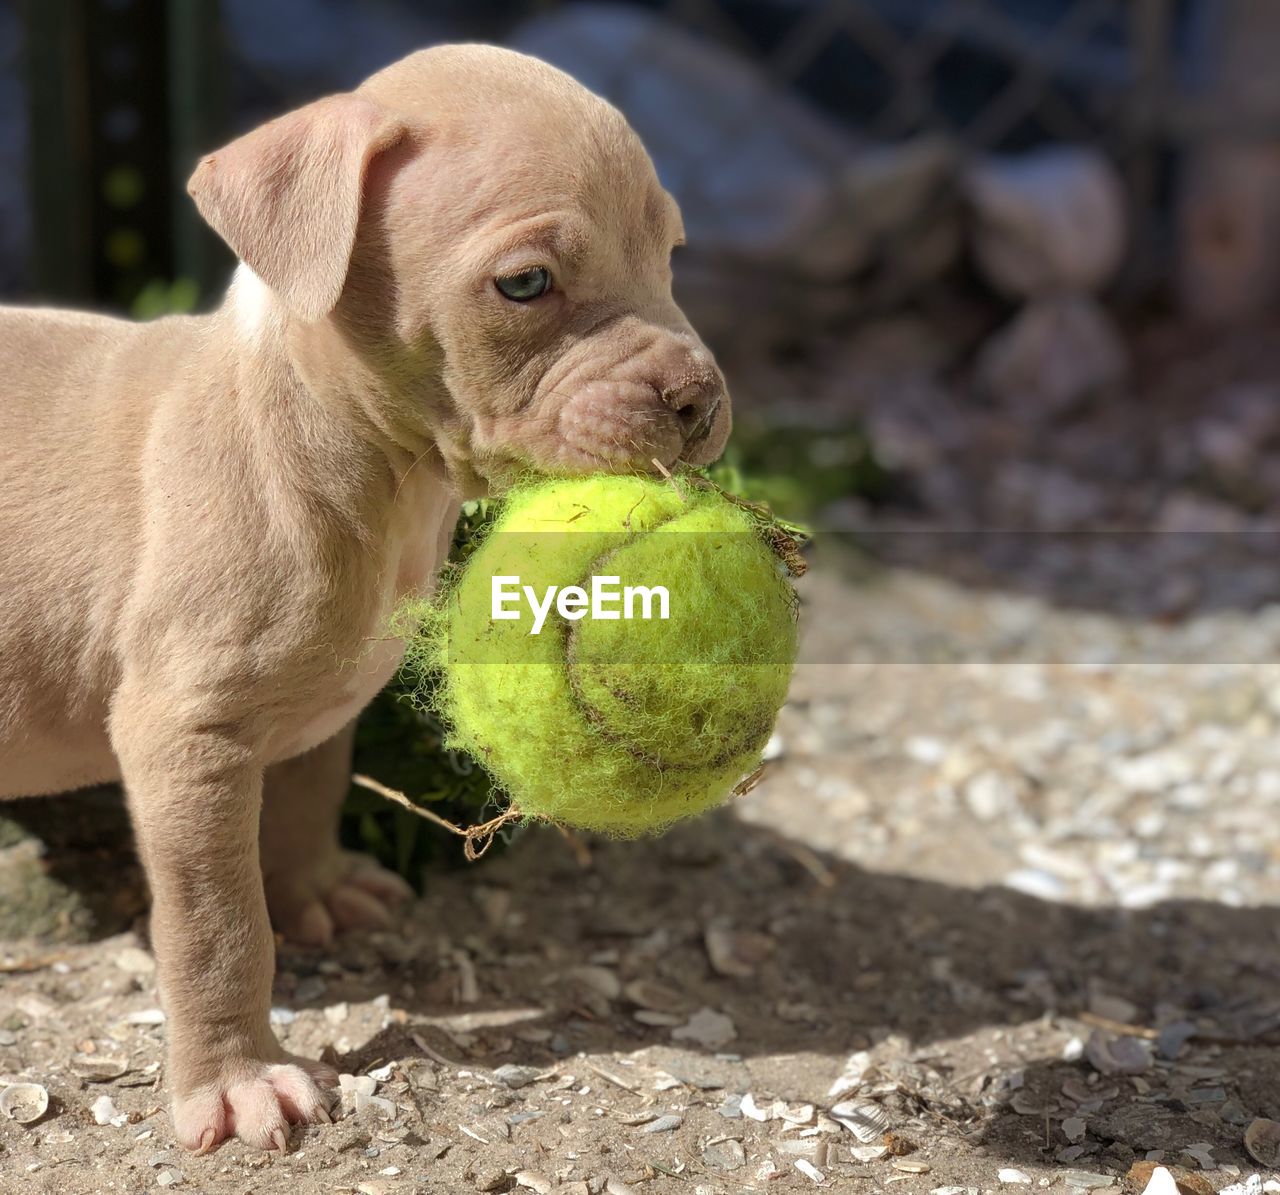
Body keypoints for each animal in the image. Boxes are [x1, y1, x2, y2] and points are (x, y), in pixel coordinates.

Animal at [0, 44, 727, 1151]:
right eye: (526, 284)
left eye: (672, 255)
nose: (698, 399)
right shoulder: (186, 736)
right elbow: (218, 927)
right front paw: (237, 1077)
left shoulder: (319, 699)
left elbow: (309, 794)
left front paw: (316, 889)